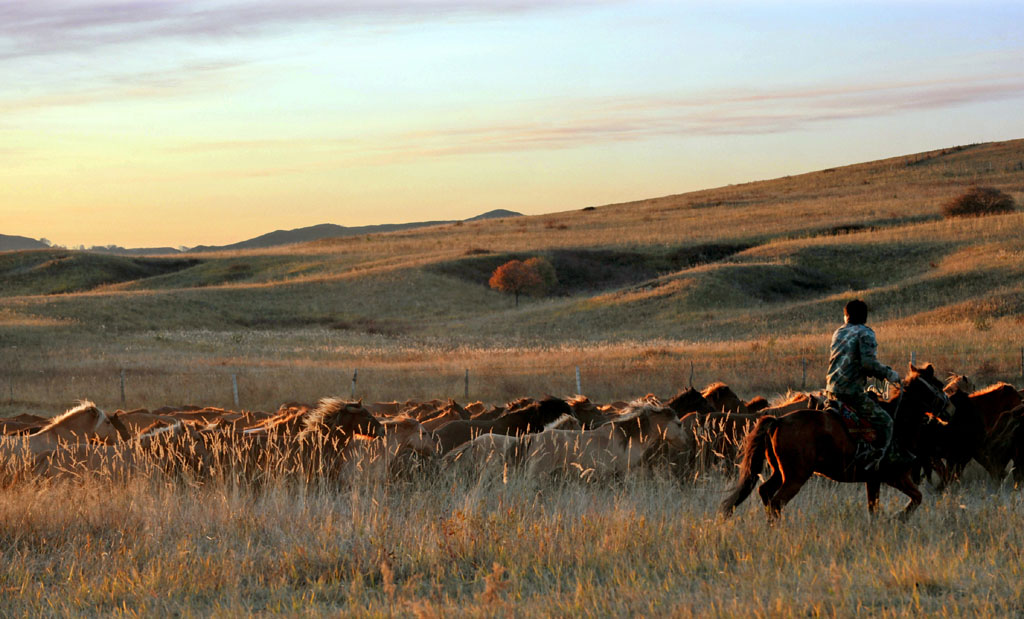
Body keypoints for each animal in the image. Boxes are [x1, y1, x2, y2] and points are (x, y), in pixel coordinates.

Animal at [720, 364, 950, 520]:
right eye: (938, 385)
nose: (950, 409)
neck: (899, 419)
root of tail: (778, 420)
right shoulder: (895, 476)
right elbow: (917, 497)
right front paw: (897, 518)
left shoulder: (873, 480)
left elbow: (874, 509)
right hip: (795, 477)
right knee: (776, 502)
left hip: (780, 472)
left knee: (765, 493)